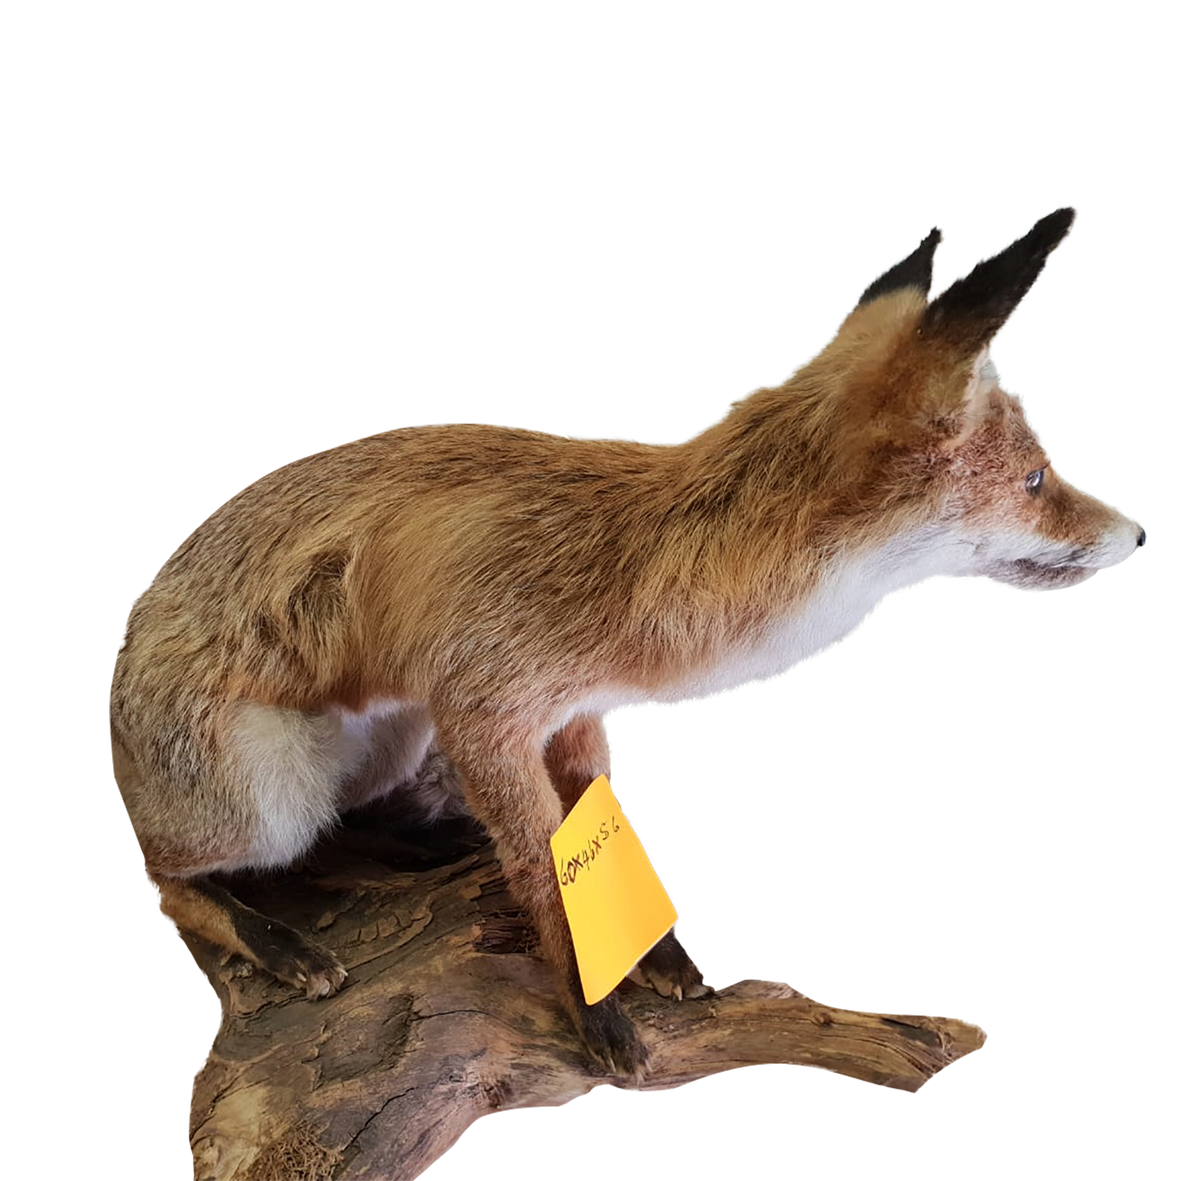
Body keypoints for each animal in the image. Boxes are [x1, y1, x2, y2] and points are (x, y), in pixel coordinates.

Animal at [112, 208, 1144, 1076]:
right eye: (1037, 478)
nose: (1138, 534)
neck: (643, 564)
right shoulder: (483, 710)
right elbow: (542, 869)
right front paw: (592, 1000)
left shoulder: (573, 713)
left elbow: (592, 825)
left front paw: (655, 949)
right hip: (270, 790)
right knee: (174, 881)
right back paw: (277, 940)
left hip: (390, 735)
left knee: (343, 831)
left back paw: (417, 844)